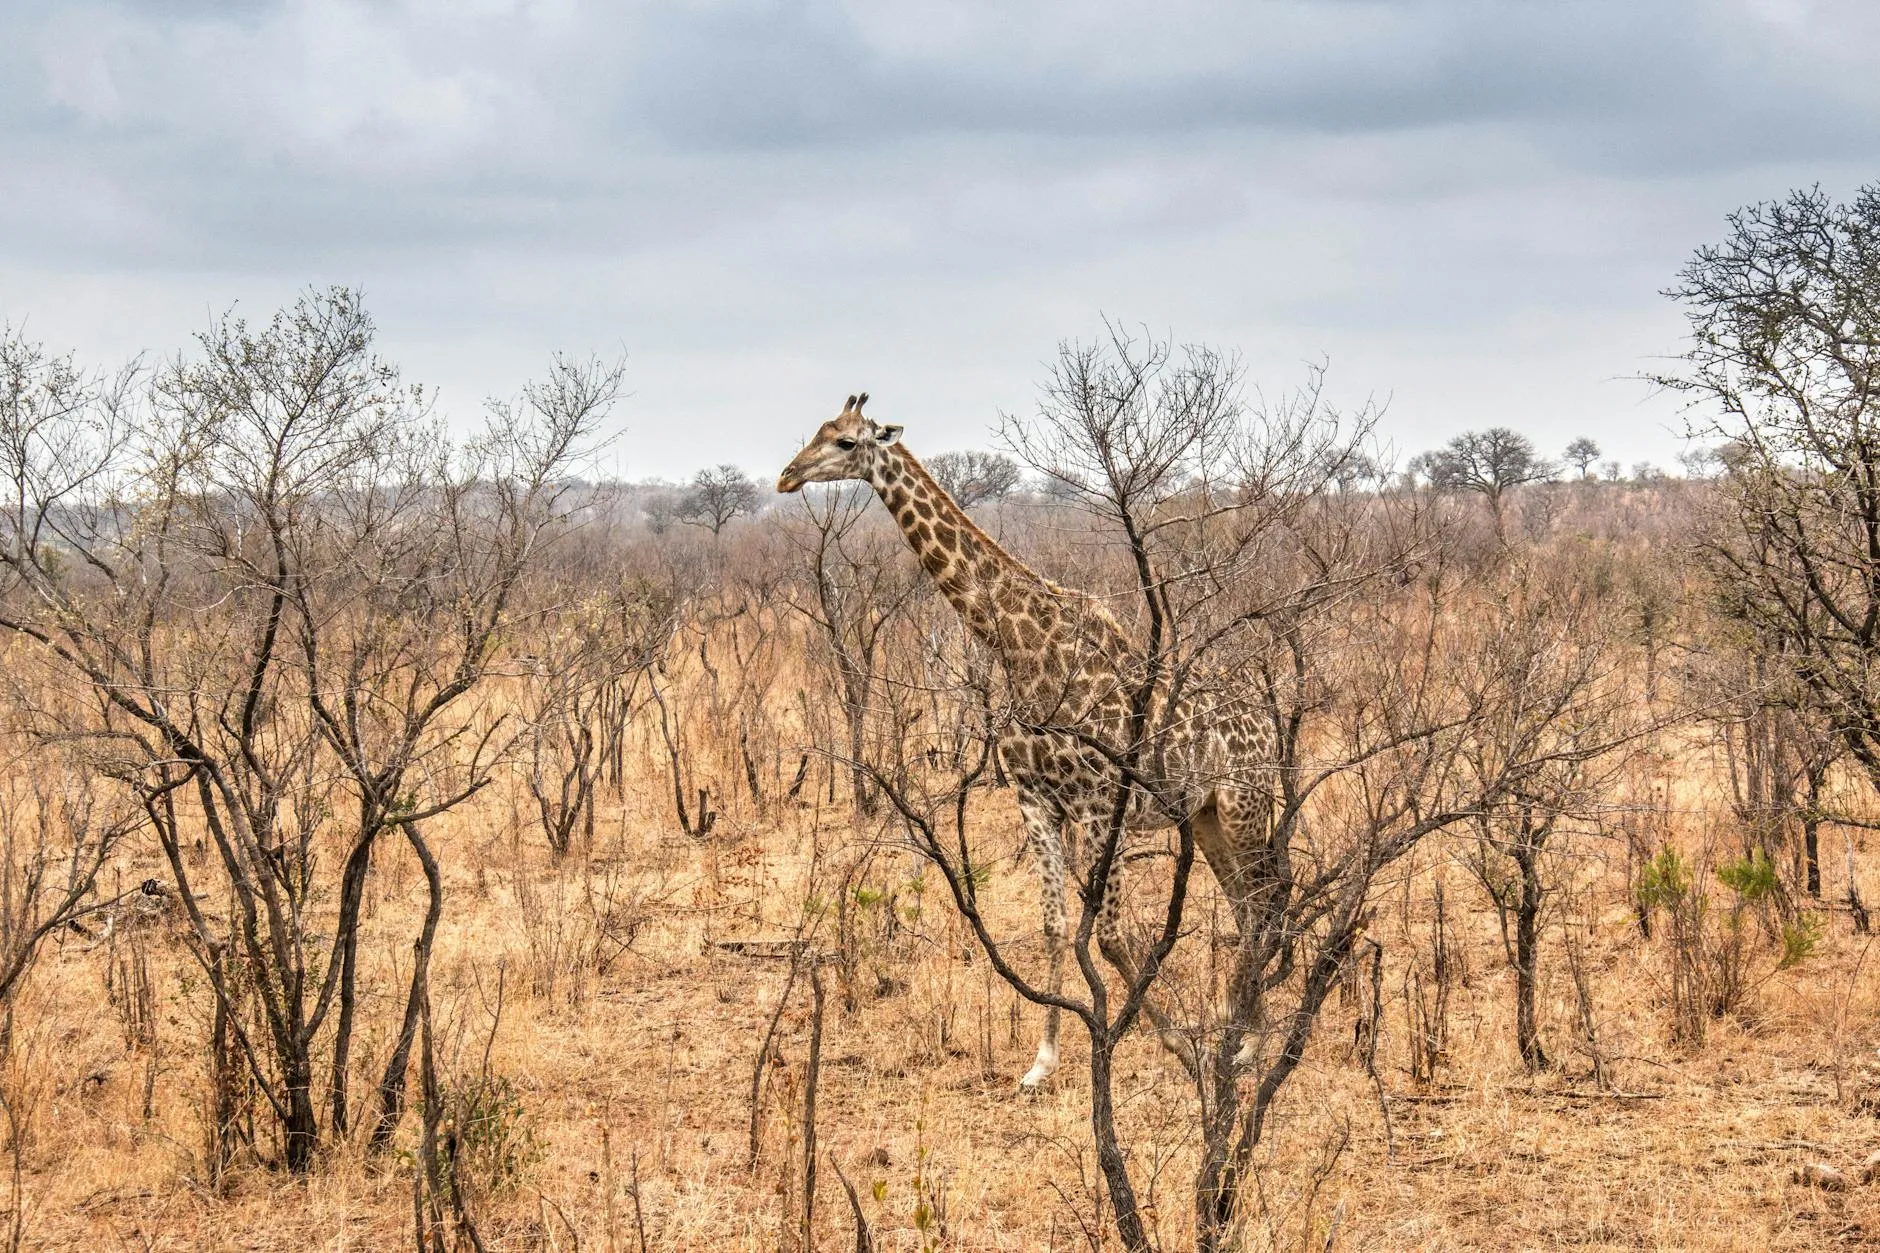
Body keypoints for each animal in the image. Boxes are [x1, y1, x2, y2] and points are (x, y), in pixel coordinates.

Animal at [778, 393, 1277, 1089]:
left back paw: (1248, 1043)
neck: (1020, 648)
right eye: (819, 432)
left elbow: (1111, 936)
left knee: (1261, 904)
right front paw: (1043, 1062)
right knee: (1243, 905)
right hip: (1204, 817)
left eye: (848, 442)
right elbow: (1053, 925)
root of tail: (1266, 721)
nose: (787, 476)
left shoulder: (1100, 806)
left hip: (1243, 805)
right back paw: (1242, 1032)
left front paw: (1183, 1047)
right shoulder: (1036, 800)